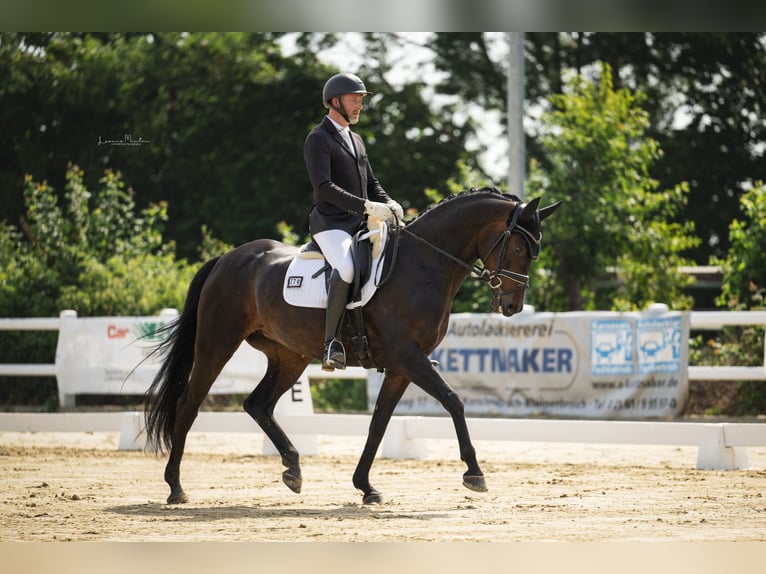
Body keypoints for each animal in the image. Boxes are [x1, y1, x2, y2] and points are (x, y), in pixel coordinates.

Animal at [147, 188, 560, 504]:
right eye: (519, 247)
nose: (512, 307)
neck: (423, 265)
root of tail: (228, 258)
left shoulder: (400, 366)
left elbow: (378, 424)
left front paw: (365, 487)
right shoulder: (408, 357)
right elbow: (453, 401)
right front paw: (474, 473)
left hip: (290, 356)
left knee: (258, 404)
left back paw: (293, 469)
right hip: (217, 344)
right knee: (189, 404)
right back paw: (176, 487)